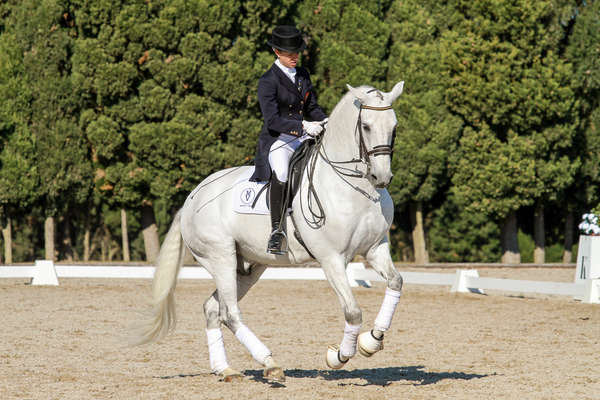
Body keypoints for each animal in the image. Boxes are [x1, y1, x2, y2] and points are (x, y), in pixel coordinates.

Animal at [135, 80, 408, 382]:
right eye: (367, 127)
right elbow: (353, 312)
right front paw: (339, 356)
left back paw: (226, 369)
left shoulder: (374, 249)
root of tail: (192, 198)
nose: (381, 178)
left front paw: (372, 340)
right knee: (230, 313)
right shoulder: (331, 258)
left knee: (213, 308)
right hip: (220, 257)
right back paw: (270, 363)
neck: (353, 187)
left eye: (394, 127)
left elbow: (396, 282)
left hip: (247, 267)